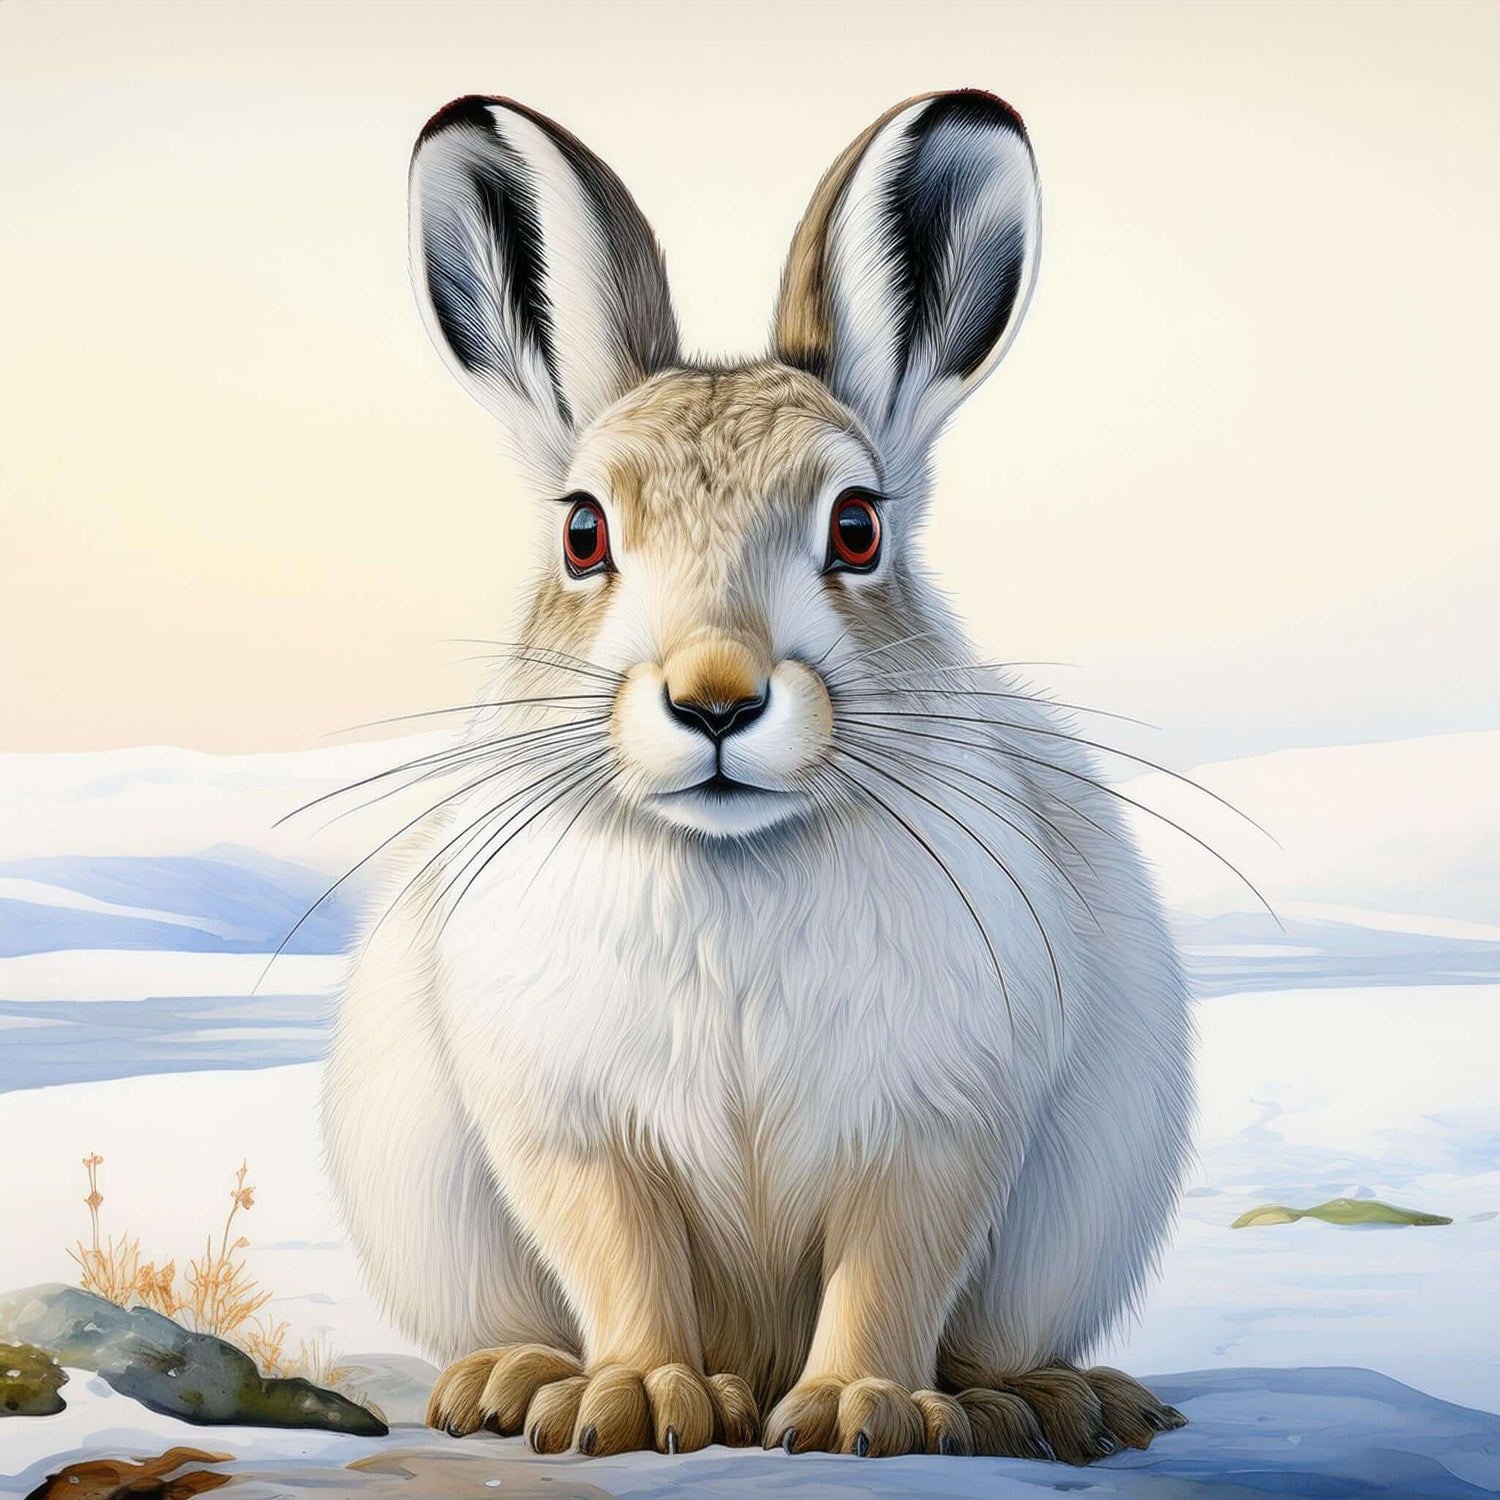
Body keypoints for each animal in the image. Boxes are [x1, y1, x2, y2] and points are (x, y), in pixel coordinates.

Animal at [321, 89, 1194, 1465]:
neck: (733, 858)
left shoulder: (940, 1127)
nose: (717, 697)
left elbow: (891, 1270)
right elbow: (620, 1257)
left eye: (858, 527)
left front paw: (857, 1411)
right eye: (583, 533)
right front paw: (633, 1398)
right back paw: (513, 1379)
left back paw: (1049, 1401)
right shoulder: (570, 1129)